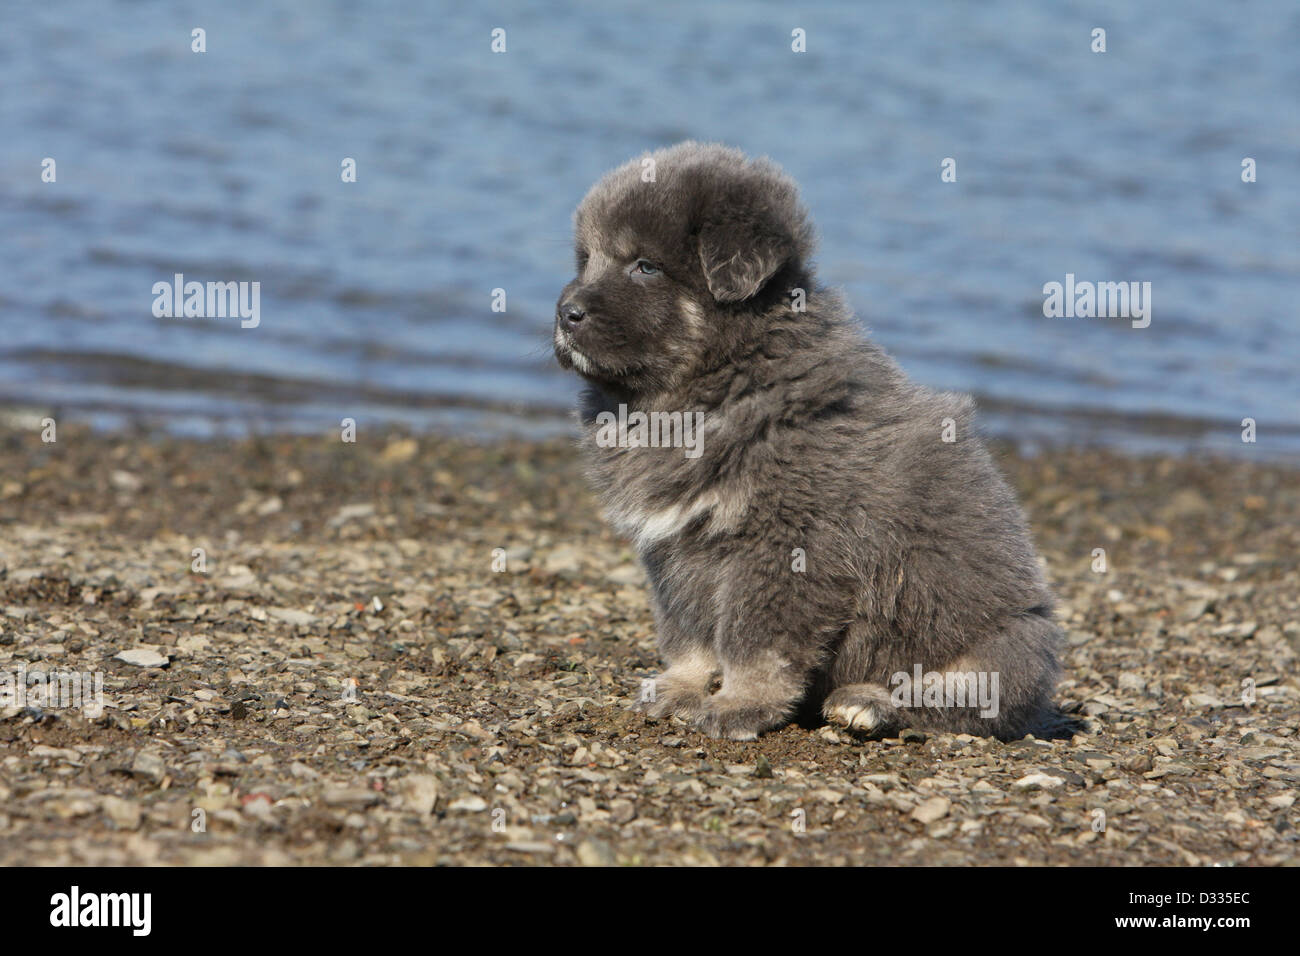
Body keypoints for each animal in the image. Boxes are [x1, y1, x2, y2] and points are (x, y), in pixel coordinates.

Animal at [548, 141, 1066, 743]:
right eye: (586, 260)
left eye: (645, 266)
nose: (565, 312)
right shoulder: (675, 549)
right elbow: (689, 631)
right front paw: (682, 687)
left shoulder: (787, 547)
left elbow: (756, 642)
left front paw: (739, 705)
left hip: (1003, 646)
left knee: (955, 699)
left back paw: (868, 704)